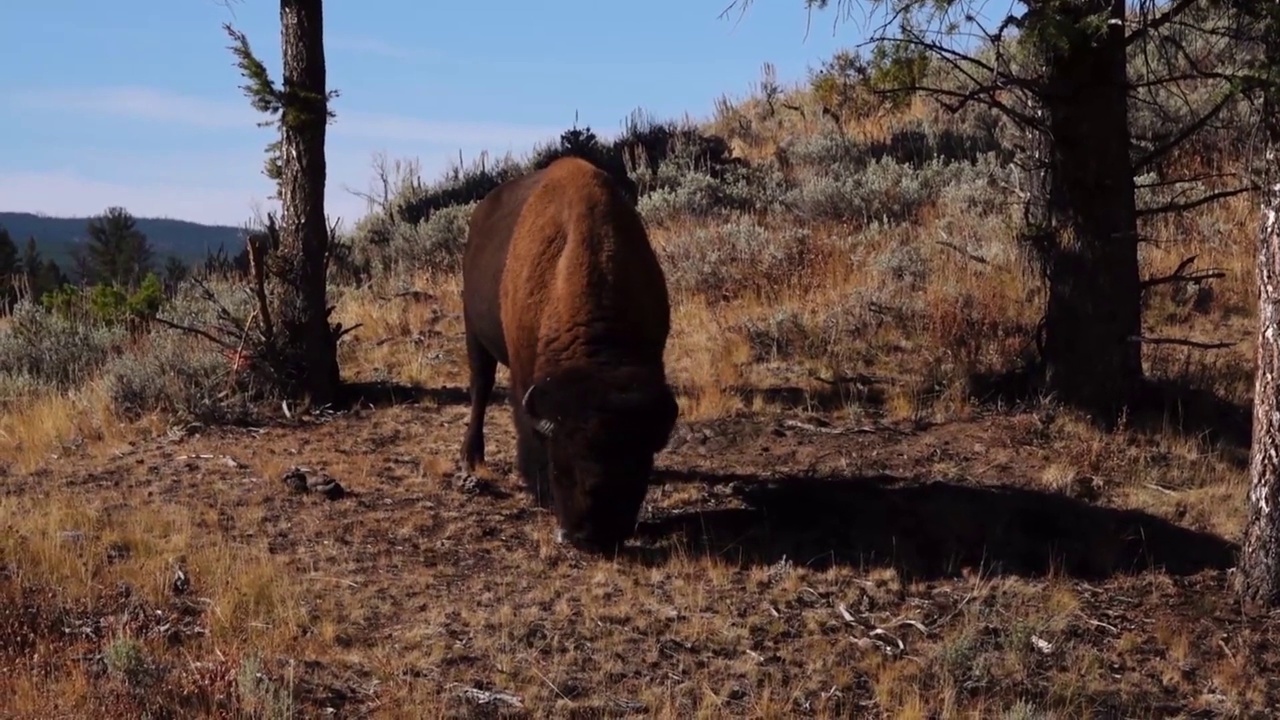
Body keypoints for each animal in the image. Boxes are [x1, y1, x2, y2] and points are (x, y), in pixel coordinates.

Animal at [458, 155, 680, 548]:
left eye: (638, 462)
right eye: (562, 463)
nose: (592, 536)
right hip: (474, 332)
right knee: (480, 389)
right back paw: (472, 457)